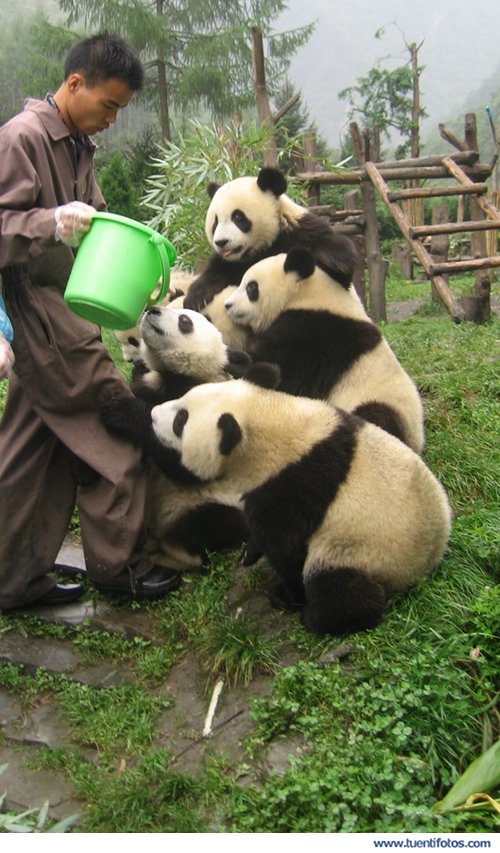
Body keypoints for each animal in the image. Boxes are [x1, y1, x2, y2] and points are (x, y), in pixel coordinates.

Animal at [101, 305, 250, 571]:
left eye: (184, 320)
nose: (152, 309)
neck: (176, 376)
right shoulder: (154, 384)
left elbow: (188, 466)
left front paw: (121, 411)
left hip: (207, 501)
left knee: (209, 524)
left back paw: (171, 558)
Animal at [150, 365, 452, 636]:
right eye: (184, 397)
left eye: (180, 422)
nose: (152, 415)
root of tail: (425, 565)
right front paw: (250, 553)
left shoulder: (292, 487)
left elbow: (288, 550)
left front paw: (287, 593)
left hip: (363, 551)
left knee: (338, 586)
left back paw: (318, 618)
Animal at [183, 167, 358, 313]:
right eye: (215, 222)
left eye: (237, 217)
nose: (221, 242)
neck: (267, 244)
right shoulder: (230, 263)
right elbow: (214, 274)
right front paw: (195, 298)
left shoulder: (300, 234)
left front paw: (339, 259)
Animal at [224, 247, 425, 454]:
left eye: (251, 288)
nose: (227, 305)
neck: (308, 294)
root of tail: (417, 442)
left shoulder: (314, 334)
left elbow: (283, 372)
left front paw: (236, 360)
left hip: (381, 405)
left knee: (378, 417)